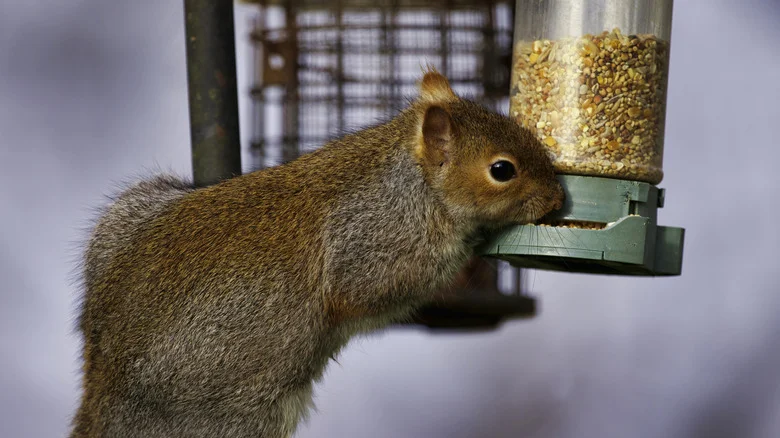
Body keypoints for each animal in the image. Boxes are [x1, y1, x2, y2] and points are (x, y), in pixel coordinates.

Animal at [71, 69, 564, 438]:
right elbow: (367, 291)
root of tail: (103, 384)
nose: (557, 197)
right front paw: (474, 244)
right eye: (502, 170)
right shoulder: (370, 242)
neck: (413, 183)